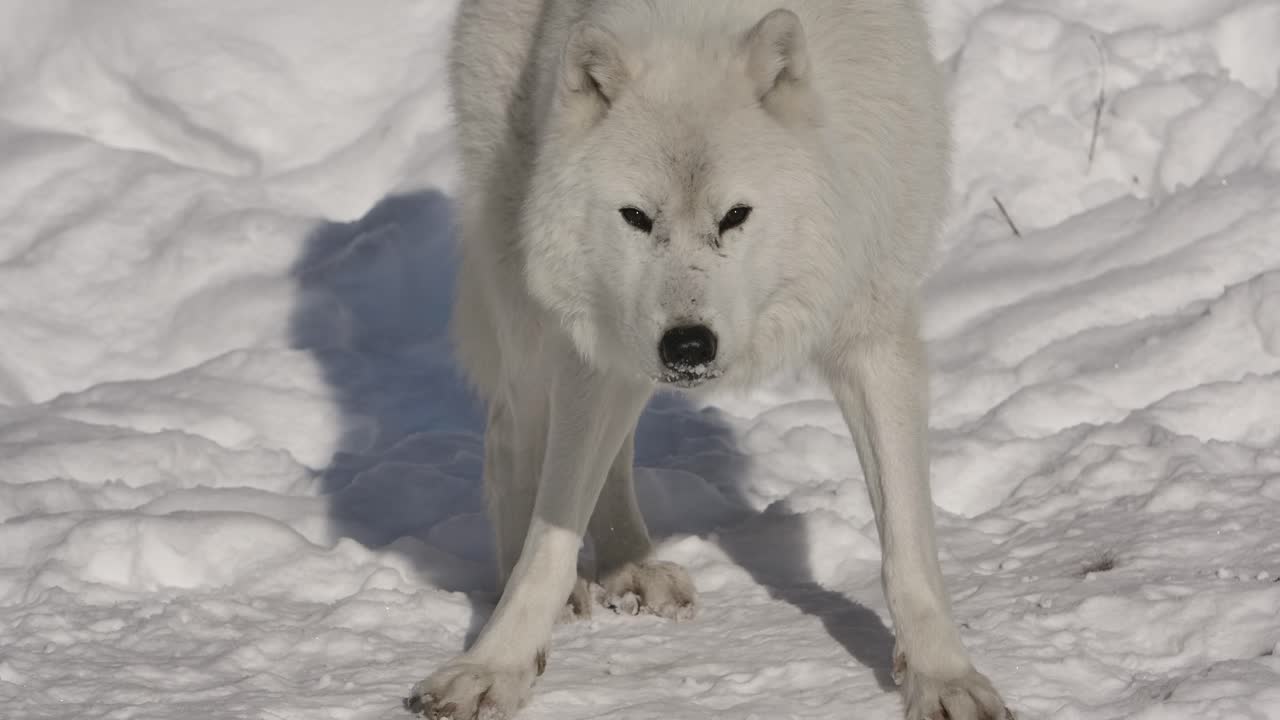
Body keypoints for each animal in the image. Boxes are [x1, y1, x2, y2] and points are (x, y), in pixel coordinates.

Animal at [406, 1, 1013, 718]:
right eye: (637, 217)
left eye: (735, 216)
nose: (689, 345)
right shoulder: (597, 346)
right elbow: (549, 539)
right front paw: (494, 665)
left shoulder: (874, 327)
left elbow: (908, 541)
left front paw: (941, 676)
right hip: (531, 302)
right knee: (509, 439)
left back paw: (631, 565)